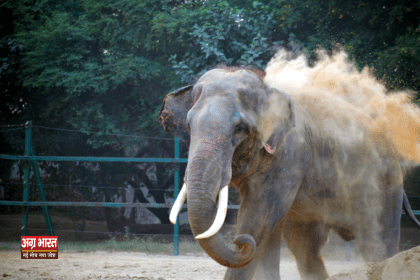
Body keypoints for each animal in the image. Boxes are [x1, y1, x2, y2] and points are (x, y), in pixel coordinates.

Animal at [158, 66, 420, 280]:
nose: (237, 242)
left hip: (384, 190)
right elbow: (268, 230)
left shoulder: (289, 156)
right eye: (189, 126)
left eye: (240, 129)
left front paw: (246, 236)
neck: (268, 89)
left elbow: (258, 217)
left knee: (378, 246)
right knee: (305, 249)